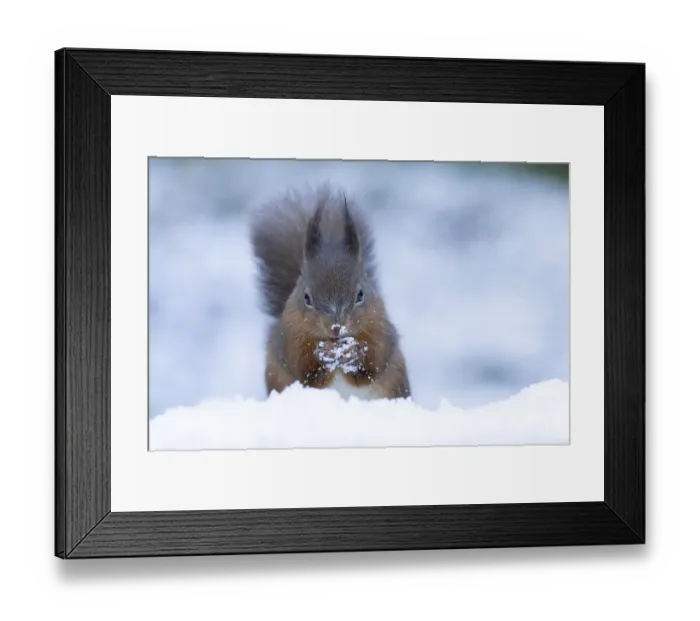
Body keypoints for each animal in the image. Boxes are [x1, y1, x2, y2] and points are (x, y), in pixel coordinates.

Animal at [250, 185, 411, 401]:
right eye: (307, 298)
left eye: (360, 294)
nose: (336, 327)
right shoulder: (291, 336)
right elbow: (306, 372)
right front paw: (324, 352)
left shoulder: (380, 329)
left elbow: (372, 366)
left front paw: (354, 352)